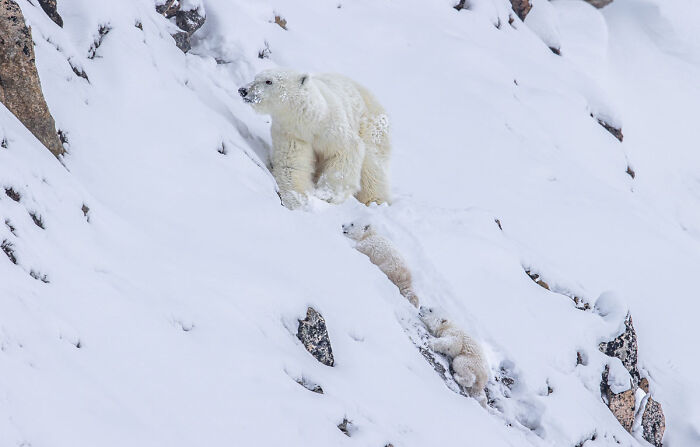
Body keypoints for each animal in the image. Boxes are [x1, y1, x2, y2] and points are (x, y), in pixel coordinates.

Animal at [238, 69, 391, 209]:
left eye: (268, 81)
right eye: (255, 77)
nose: (243, 90)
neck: (310, 120)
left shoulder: (331, 127)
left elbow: (345, 152)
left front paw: (326, 195)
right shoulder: (293, 135)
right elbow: (292, 165)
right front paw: (298, 200)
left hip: (370, 125)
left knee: (372, 164)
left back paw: (375, 200)